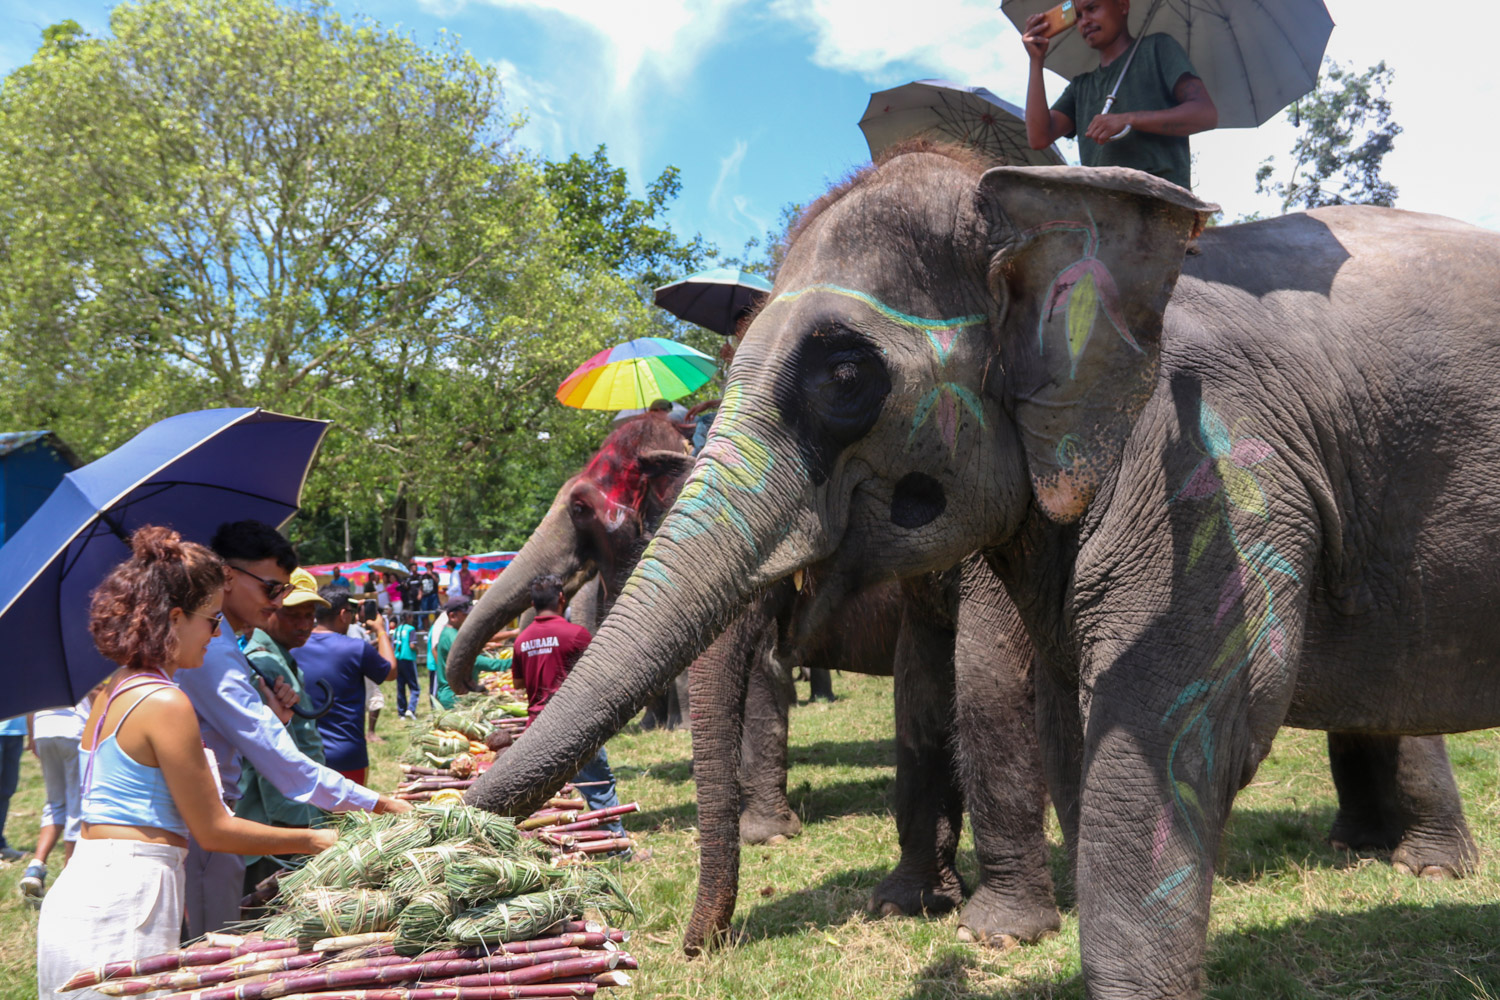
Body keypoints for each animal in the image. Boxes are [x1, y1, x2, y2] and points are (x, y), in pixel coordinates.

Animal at [464, 146, 1500, 998]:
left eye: (845, 376)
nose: (695, 947)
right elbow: (1006, 708)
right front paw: (924, 909)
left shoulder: (1215, 468)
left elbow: (1145, 725)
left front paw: (997, 936)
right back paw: (1366, 849)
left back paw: (1425, 869)